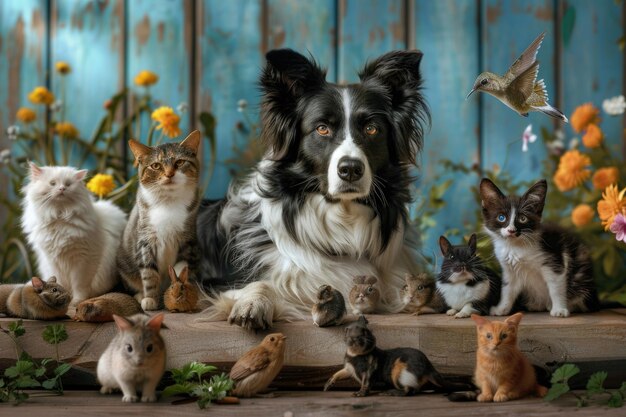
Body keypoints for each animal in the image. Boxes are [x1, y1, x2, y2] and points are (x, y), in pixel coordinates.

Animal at [21, 162, 125, 302]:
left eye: (68, 184)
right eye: (52, 183)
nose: (62, 189)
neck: (59, 216)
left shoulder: (83, 261)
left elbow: (79, 285)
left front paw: (77, 300)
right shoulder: (53, 260)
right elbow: (58, 282)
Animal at [116, 130, 200, 308]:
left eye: (180, 162)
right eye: (156, 166)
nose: (169, 174)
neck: (168, 202)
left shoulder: (188, 242)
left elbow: (180, 269)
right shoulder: (145, 240)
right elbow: (149, 273)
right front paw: (150, 298)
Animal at [197, 48, 426, 328]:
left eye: (372, 129)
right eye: (322, 128)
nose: (350, 169)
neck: (343, 220)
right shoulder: (218, 283)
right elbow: (261, 284)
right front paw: (253, 304)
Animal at [480, 177, 596, 316]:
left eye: (523, 218)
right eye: (501, 217)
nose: (511, 230)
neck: (515, 247)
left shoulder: (553, 260)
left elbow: (555, 287)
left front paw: (559, 309)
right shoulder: (509, 269)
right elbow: (507, 290)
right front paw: (501, 309)